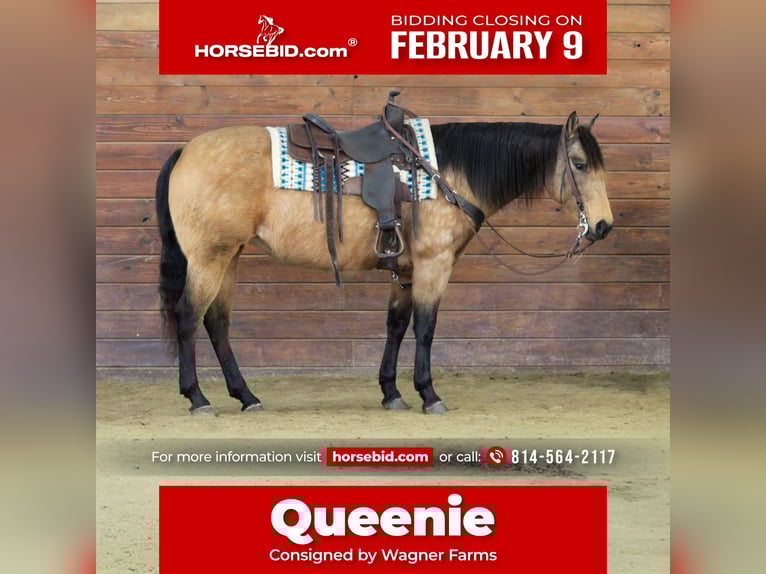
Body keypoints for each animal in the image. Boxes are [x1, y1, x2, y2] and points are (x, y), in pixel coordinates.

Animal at [155, 109, 614, 415]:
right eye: (579, 164)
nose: (603, 225)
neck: (447, 174)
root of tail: (184, 151)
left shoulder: (405, 272)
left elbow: (396, 325)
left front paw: (391, 392)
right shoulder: (433, 264)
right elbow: (425, 328)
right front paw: (429, 394)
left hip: (228, 257)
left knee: (217, 323)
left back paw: (246, 396)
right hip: (209, 258)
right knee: (188, 317)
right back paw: (197, 397)